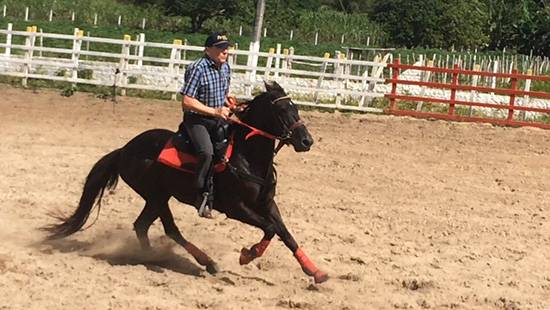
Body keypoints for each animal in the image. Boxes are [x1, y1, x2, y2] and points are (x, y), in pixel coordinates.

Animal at [45, 81, 330, 284]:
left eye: (296, 108)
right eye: (281, 110)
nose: (306, 141)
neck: (247, 156)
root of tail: (125, 149)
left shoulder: (267, 203)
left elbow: (285, 233)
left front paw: (315, 272)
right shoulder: (236, 208)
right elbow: (269, 229)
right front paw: (247, 255)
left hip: (157, 197)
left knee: (142, 225)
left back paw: (159, 258)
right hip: (156, 195)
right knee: (169, 229)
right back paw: (198, 261)